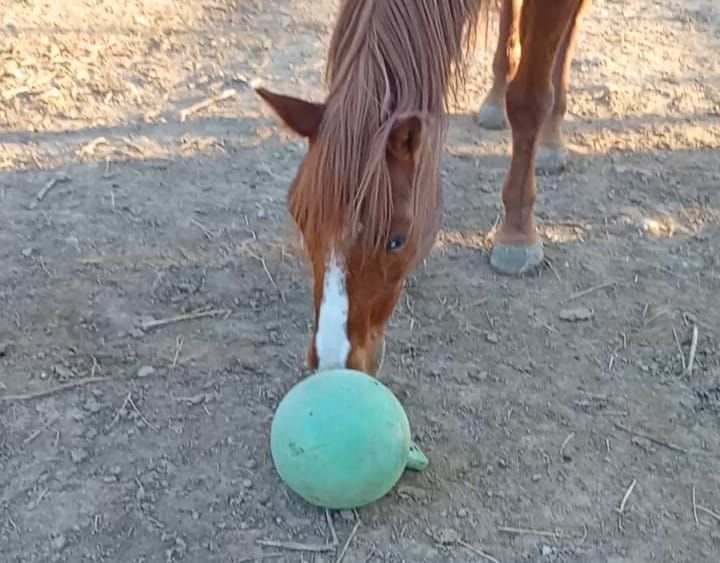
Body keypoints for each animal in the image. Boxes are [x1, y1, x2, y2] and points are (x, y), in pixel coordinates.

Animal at [257, 0, 591, 375]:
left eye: (397, 240)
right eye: (300, 219)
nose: (333, 361)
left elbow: (529, 101)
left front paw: (517, 235)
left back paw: (551, 140)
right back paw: (494, 99)